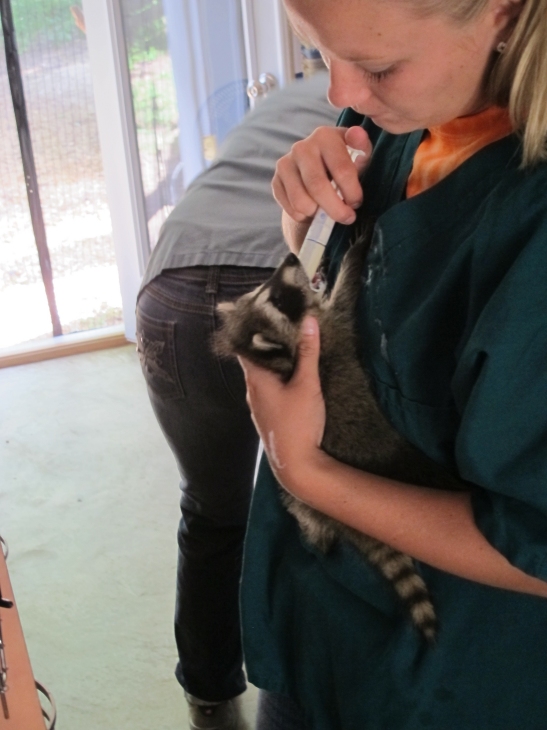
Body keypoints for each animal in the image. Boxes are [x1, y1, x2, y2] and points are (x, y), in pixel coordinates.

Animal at [214, 230, 462, 640]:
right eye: (275, 298)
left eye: (266, 288)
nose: (292, 259)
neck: (283, 357)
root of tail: (347, 523)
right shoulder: (331, 329)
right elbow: (345, 298)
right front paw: (355, 256)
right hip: (402, 457)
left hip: (304, 501)